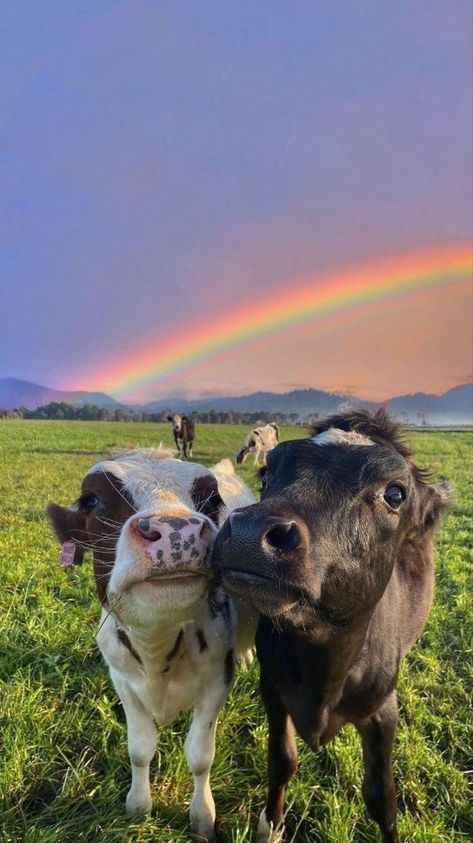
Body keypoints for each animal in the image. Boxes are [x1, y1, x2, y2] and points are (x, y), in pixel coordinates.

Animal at [46, 452, 256, 840]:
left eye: (211, 500)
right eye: (91, 501)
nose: (178, 530)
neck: (158, 649)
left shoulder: (218, 680)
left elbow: (200, 755)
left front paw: (202, 816)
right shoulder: (122, 680)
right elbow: (140, 749)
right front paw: (139, 805)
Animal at [213, 410, 450, 843]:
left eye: (395, 494)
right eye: (267, 474)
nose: (250, 531)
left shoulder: (382, 711)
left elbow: (381, 796)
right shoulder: (274, 689)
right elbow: (282, 760)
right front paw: (271, 823)